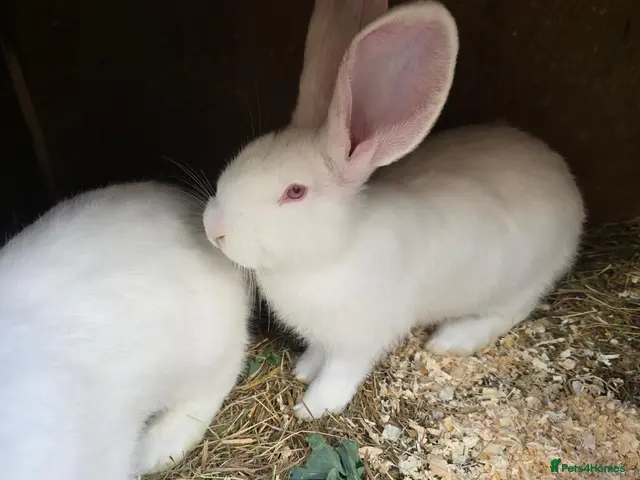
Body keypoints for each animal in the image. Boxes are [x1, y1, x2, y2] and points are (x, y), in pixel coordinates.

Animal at [203, 0, 585, 421]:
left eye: (295, 191)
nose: (213, 228)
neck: (333, 252)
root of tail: (567, 182)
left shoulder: (359, 339)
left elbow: (340, 373)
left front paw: (311, 407)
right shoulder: (327, 336)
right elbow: (319, 355)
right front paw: (304, 369)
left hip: (523, 280)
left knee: (509, 312)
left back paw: (451, 339)